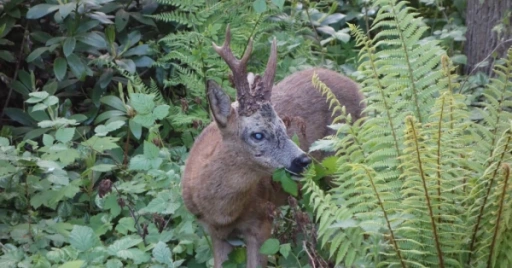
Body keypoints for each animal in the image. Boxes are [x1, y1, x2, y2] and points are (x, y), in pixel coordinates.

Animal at [180, 25, 364, 268]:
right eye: (257, 134)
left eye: (283, 127)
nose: (303, 160)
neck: (221, 212)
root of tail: (357, 86)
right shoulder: (214, 234)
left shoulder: (262, 222)